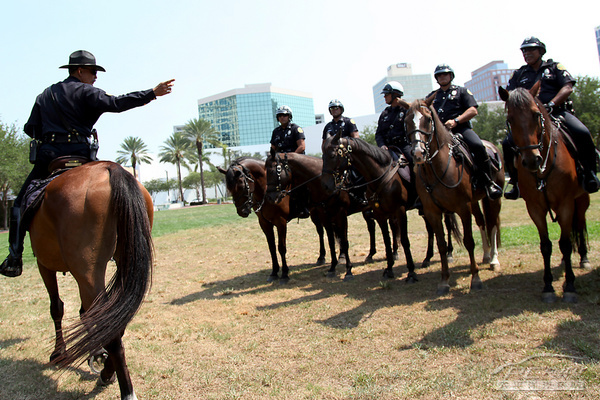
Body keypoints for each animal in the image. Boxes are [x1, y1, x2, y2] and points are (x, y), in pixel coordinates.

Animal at [29, 161, 154, 400]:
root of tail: (109, 167)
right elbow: (86, 313)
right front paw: (96, 352)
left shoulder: (44, 265)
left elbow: (56, 307)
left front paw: (59, 352)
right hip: (122, 262)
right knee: (112, 319)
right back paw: (107, 371)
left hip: (87, 272)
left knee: (110, 328)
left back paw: (123, 389)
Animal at [322, 131, 420, 282]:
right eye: (322, 156)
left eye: (332, 155)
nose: (326, 185)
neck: (380, 176)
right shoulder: (380, 214)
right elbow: (386, 240)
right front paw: (389, 269)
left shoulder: (400, 210)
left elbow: (404, 239)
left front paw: (411, 272)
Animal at [406, 98, 504, 296]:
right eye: (406, 121)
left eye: (428, 119)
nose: (418, 153)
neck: (437, 169)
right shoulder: (433, 212)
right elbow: (442, 245)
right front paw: (444, 281)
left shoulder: (462, 208)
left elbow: (469, 241)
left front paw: (475, 279)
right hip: (475, 202)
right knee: (482, 222)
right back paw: (486, 254)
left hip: (492, 198)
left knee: (493, 224)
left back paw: (494, 260)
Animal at [496, 86, 592, 302]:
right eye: (510, 119)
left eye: (536, 114)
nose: (532, 160)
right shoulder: (535, 208)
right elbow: (546, 245)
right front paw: (548, 286)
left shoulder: (566, 204)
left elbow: (565, 243)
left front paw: (570, 286)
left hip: (581, 199)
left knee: (580, 224)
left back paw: (583, 258)